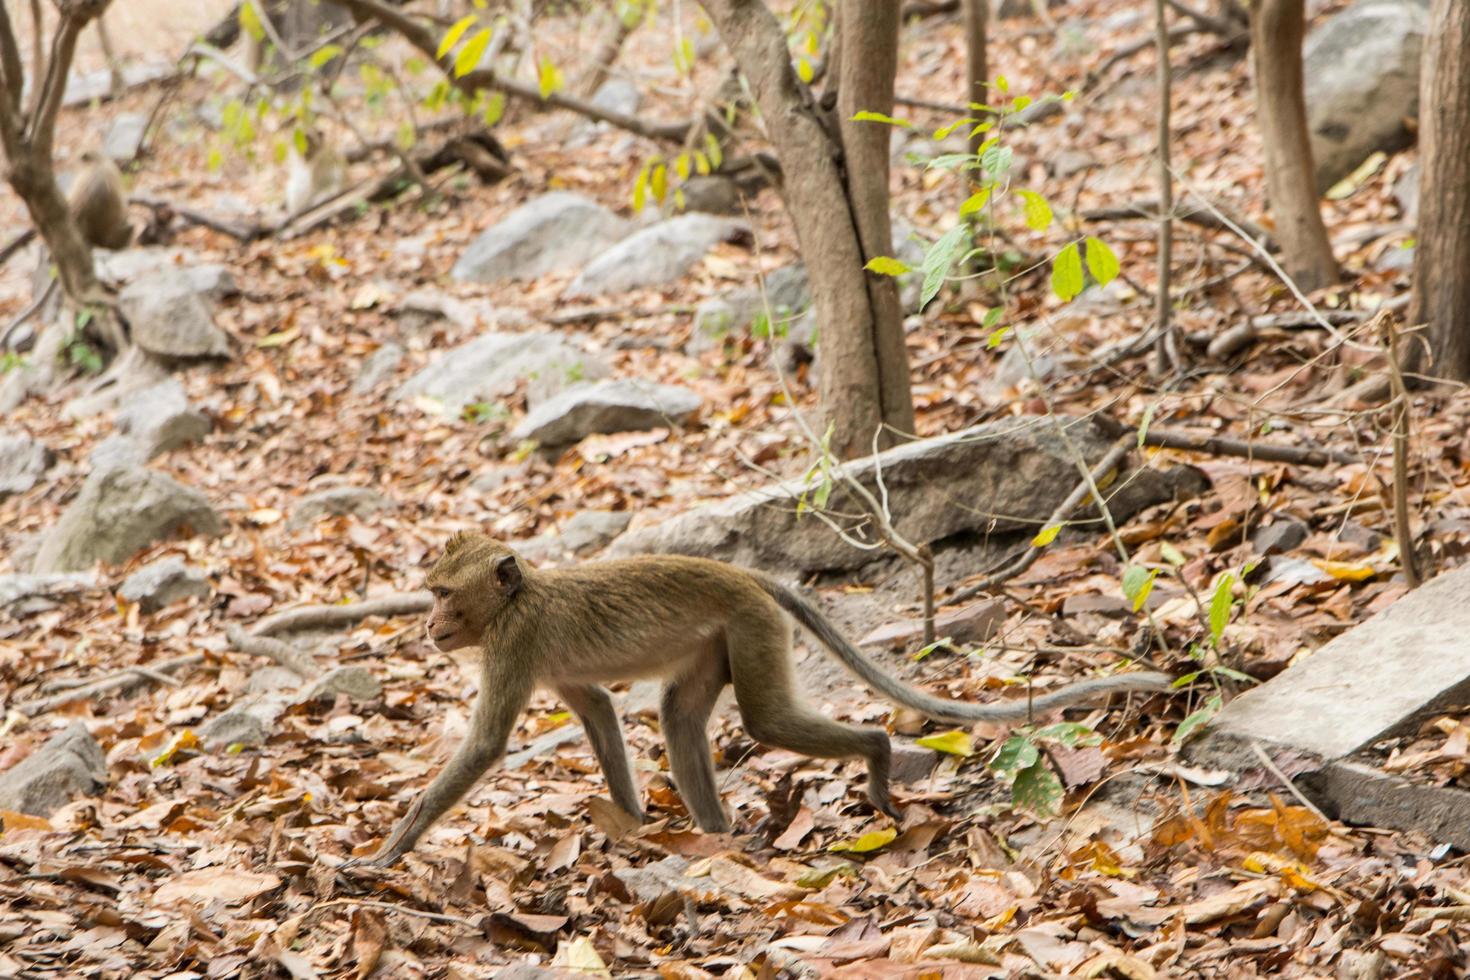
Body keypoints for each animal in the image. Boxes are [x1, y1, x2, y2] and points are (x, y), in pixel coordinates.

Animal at [355, 537, 1170, 863]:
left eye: (440, 594)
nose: (427, 625)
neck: (514, 601)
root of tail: (746, 576)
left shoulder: (514, 645)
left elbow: (488, 746)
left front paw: (389, 849)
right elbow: (598, 714)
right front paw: (631, 821)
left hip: (750, 628)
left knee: (766, 720)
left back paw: (876, 756)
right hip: (721, 639)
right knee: (679, 715)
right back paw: (717, 834)